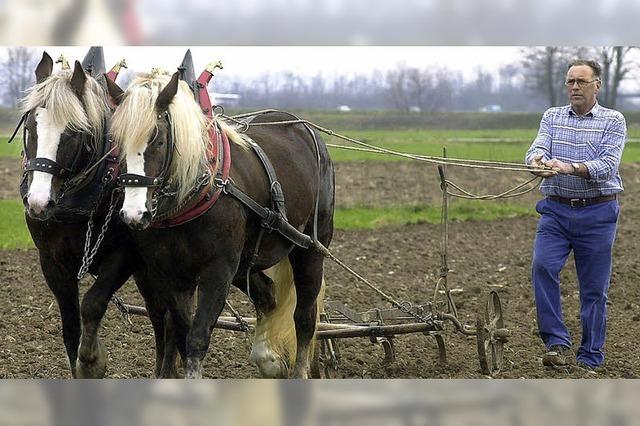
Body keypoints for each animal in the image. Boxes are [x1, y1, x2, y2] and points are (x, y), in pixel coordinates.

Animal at [20, 52, 175, 376]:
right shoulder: (51, 262)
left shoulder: (125, 254)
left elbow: (92, 304)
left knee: (167, 318)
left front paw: (91, 360)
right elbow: (70, 325)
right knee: (158, 312)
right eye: (30, 126)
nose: (38, 203)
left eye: (73, 132)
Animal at [106, 70, 336, 380]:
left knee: (305, 316)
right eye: (117, 141)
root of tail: (301, 126)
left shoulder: (218, 271)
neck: (194, 194)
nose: (134, 213)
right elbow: (182, 332)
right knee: (267, 296)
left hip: (310, 247)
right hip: (246, 263)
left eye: (158, 140)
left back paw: (298, 370)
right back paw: (266, 359)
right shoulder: (170, 274)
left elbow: (197, 337)